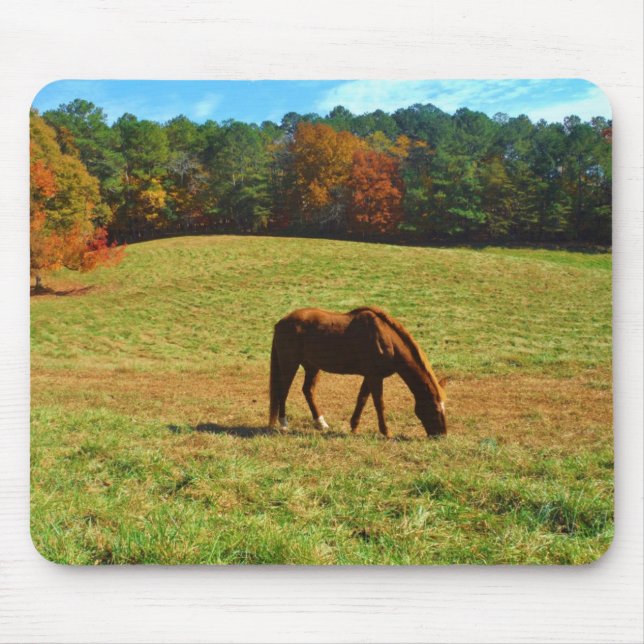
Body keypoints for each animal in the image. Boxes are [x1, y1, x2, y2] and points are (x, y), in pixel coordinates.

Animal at [268, 306, 447, 438]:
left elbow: (362, 399)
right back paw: (284, 424)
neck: (386, 340)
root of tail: (281, 323)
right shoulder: (375, 377)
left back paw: (321, 423)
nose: (442, 435)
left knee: (308, 391)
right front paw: (386, 432)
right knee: (283, 392)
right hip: (289, 364)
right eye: (435, 408)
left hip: (312, 367)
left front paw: (354, 427)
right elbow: (379, 403)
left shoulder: (370, 376)